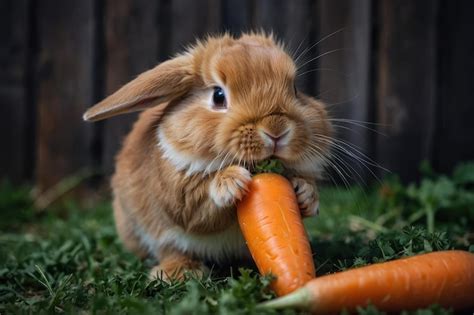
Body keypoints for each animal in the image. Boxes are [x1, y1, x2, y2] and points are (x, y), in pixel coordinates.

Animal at [82, 33, 334, 282]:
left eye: (295, 89)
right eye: (218, 96)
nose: (276, 130)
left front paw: (305, 193)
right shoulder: (179, 195)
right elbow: (198, 209)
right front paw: (231, 182)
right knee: (171, 250)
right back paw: (180, 273)